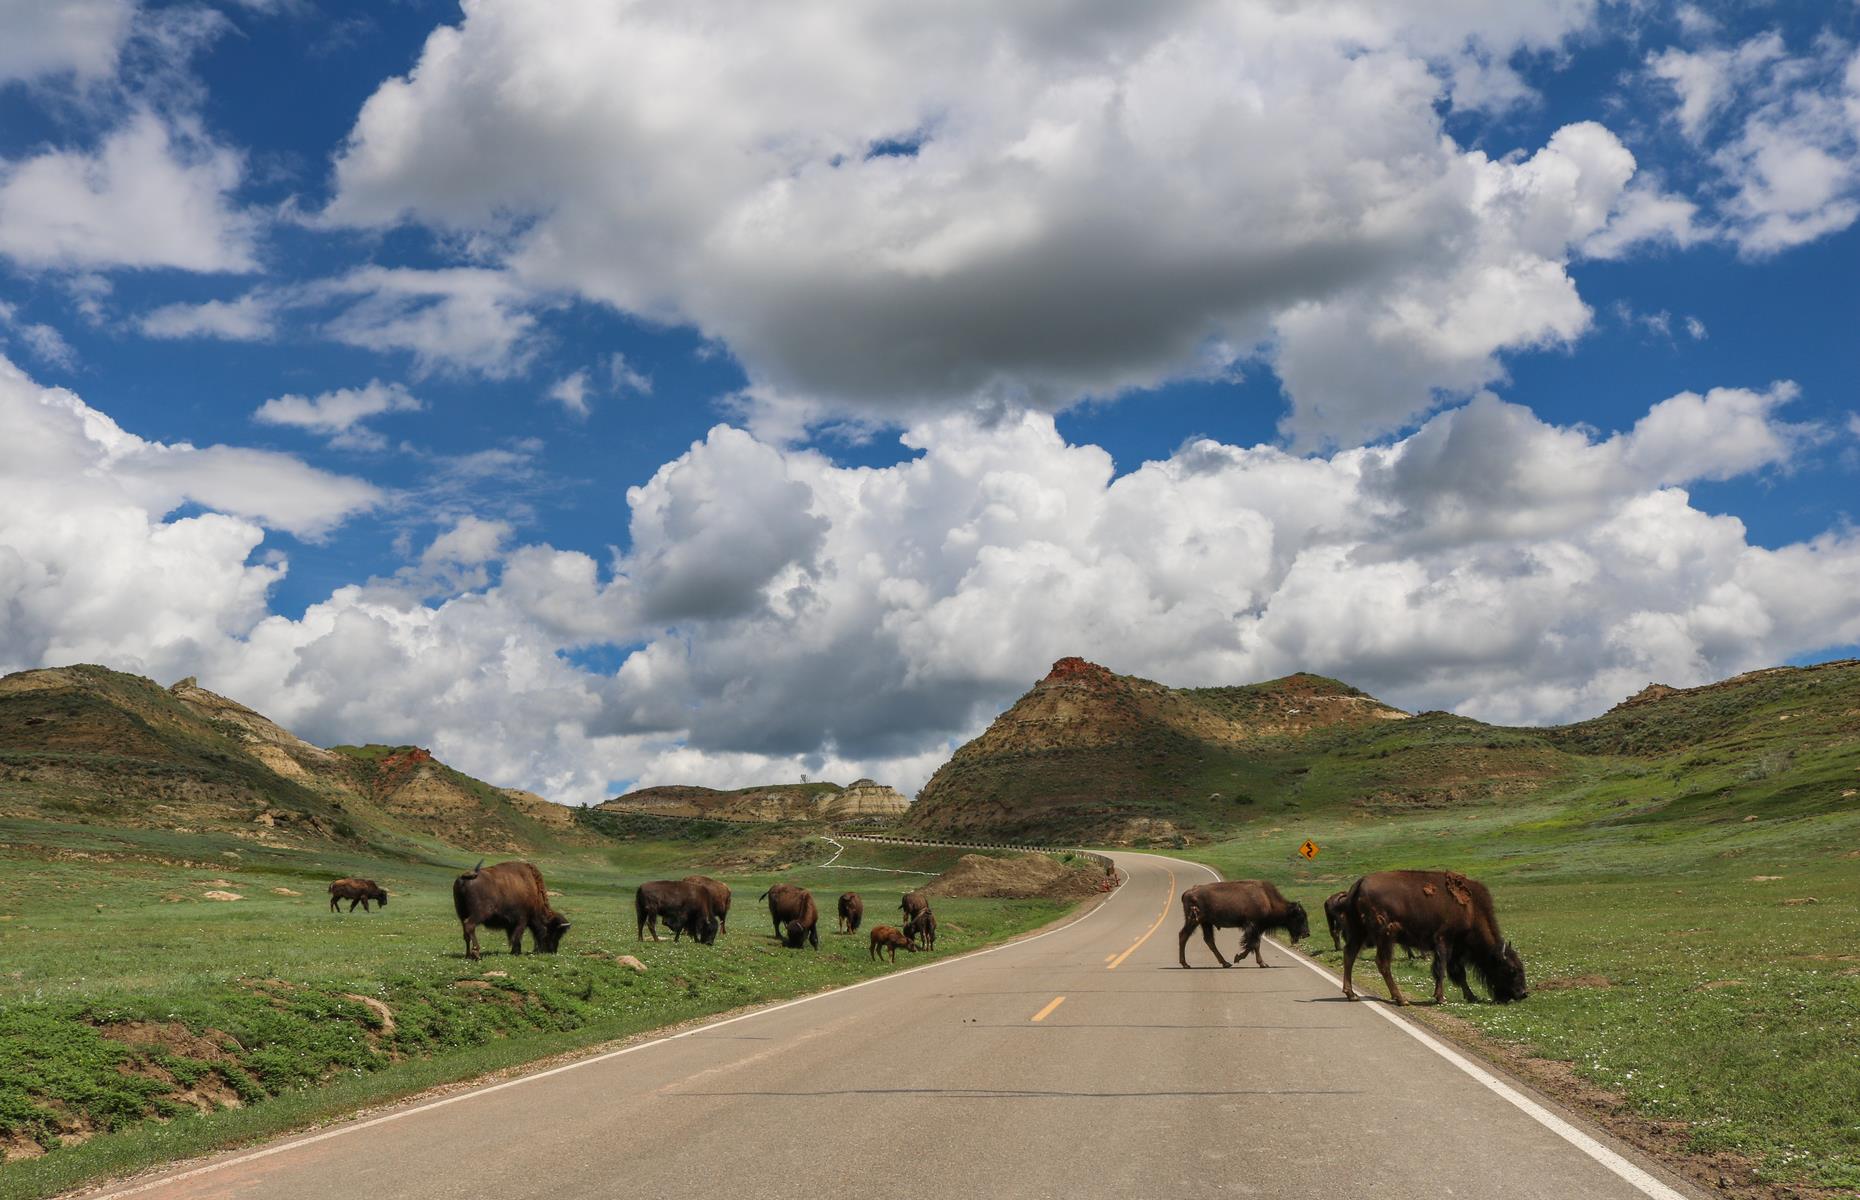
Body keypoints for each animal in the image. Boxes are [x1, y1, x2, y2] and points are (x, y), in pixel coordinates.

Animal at [1175, 874, 1309, 967]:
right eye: (1299, 917)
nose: (1307, 933)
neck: (1267, 900)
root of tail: (1187, 892)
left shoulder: (1256, 929)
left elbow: (1255, 944)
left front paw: (1261, 963)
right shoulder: (1253, 926)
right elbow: (1253, 944)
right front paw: (1239, 958)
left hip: (1205, 923)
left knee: (1209, 940)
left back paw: (1225, 963)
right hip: (1194, 921)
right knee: (1183, 935)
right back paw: (1186, 964)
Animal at [1346, 866, 1532, 1004]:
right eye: (1512, 970)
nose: (1523, 993)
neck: (1471, 909)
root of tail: (1360, 883)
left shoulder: (1456, 948)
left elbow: (1459, 973)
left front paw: (1471, 996)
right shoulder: (1444, 941)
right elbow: (1441, 968)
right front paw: (1440, 997)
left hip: (1358, 932)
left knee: (1349, 955)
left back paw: (1352, 994)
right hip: (1386, 935)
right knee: (1383, 963)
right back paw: (1401, 999)